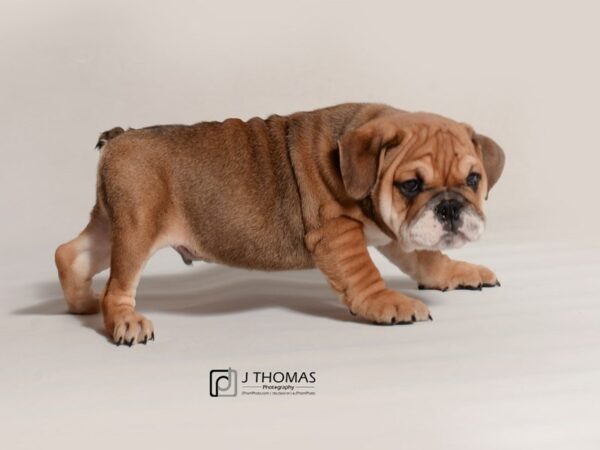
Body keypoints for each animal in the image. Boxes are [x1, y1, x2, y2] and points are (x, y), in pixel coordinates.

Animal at [56, 104, 504, 344]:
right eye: (411, 185)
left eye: (473, 179)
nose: (450, 208)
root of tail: (120, 137)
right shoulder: (337, 232)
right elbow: (365, 275)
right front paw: (388, 303)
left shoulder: (396, 230)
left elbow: (426, 258)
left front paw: (457, 272)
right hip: (136, 231)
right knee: (117, 286)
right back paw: (123, 321)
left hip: (112, 225)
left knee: (69, 254)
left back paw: (83, 303)